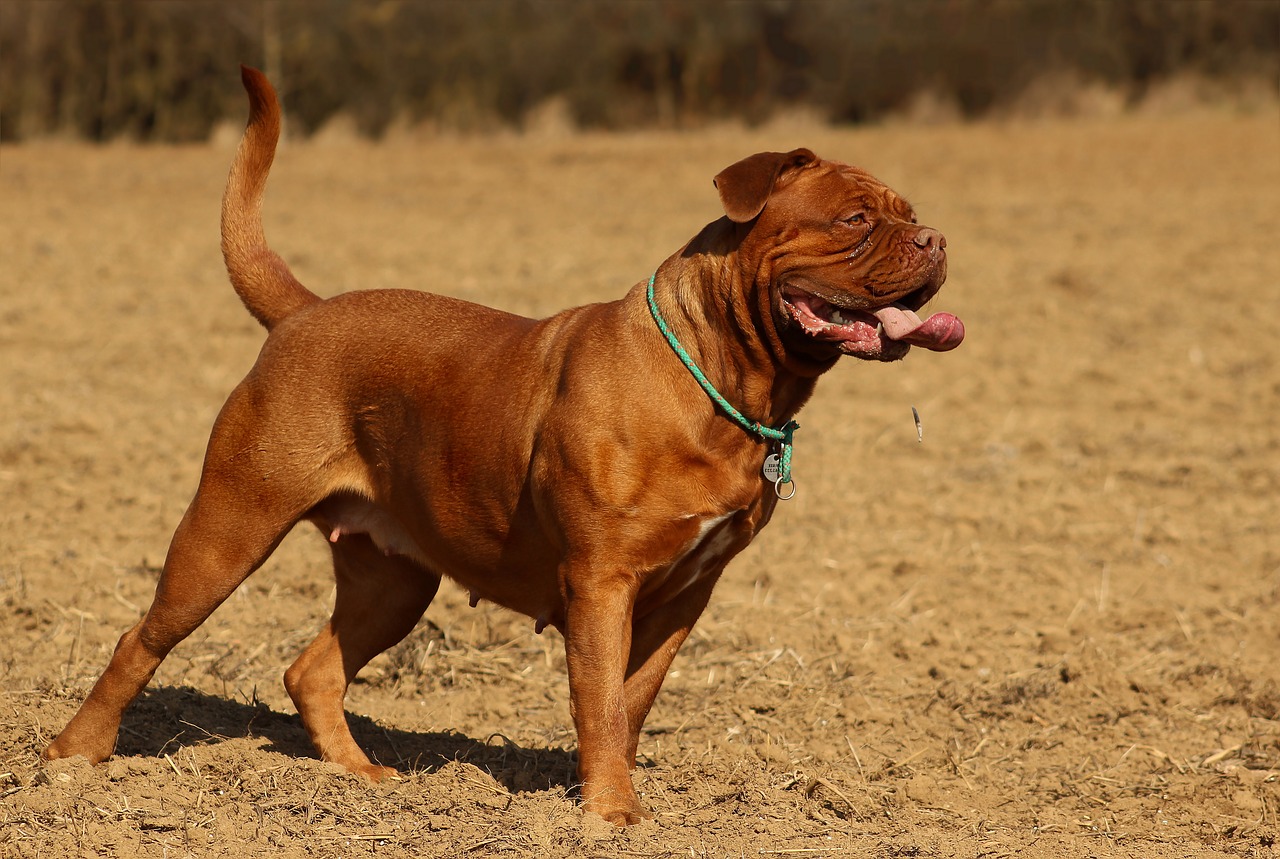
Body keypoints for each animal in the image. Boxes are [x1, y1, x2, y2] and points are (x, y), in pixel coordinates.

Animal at [45, 68, 962, 824]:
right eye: (854, 218)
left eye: (912, 216)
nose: (936, 240)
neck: (723, 379)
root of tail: (304, 312)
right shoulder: (602, 582)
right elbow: (600, 698)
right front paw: (610, 814)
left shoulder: (682, 596)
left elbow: (631, 700)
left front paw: (609, 791)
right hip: (229, 526)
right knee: (144, 638)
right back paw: (73, 756)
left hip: (394, 578)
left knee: (315, 668)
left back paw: (359, 778)